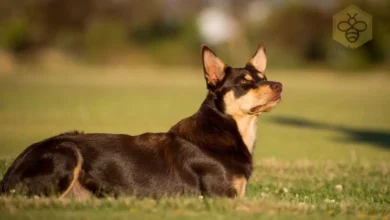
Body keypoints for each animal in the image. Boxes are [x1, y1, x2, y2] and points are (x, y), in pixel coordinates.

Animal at [0, 43, 282, 199]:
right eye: (244, 83)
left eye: (263, 77)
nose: (279, 85)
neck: (225, 127)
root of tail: (8, 174)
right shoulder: (222, 197)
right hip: (67, 153)